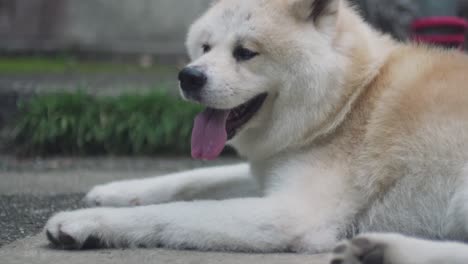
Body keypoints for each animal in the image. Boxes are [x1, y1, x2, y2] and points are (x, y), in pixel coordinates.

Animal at [45, 0, 468, 262]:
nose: (189, 77)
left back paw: (383, 251)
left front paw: (86, 223)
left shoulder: (293, 214)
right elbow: (193, 179)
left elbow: (178, 212)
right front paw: (116, 190)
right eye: (205, 47)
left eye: (245, 52)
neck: (347, 99)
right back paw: (378, 250)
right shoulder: (269, 167)